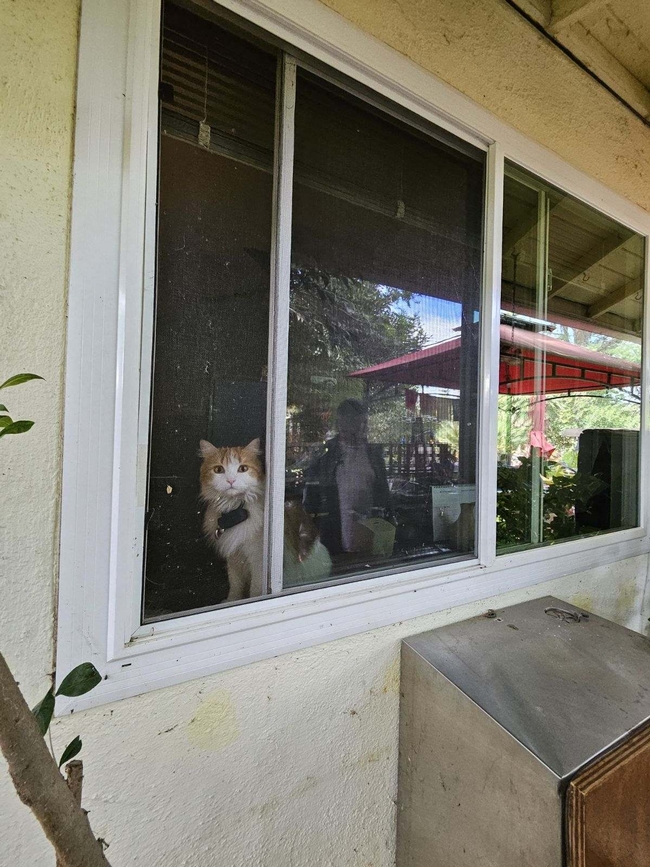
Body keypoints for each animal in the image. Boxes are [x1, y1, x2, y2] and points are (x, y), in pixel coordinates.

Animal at [199, 438, 332, 600]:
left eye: (243, 468)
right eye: (218, 470)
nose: (231, 480)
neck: (235, 509)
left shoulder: (257, 561)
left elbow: (255, 590)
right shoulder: (234, 558)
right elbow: (235, 586)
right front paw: (231, 600)